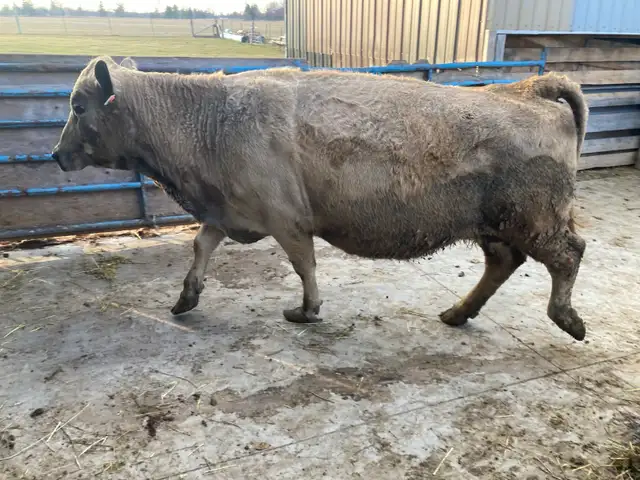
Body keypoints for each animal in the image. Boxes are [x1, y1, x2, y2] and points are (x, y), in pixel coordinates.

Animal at [51, 56, 589, 341]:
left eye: (78, 106)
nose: (56, 154)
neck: (212, 118)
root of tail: (524, 89)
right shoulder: (226, 210)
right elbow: (201, 246)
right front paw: (186, 297)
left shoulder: (287, 219)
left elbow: (304, 264)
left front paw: (307, 310)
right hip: (494, 224)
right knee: (503, 262)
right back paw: (457, 313)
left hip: (535, 218)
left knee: (569, 254)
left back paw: (566, 317)